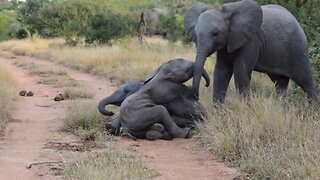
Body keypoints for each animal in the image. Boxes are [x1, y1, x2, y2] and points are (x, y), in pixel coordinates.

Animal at [184, 0, 318, 103]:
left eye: (215, 34)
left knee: (306, 82)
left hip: (298, 48)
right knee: (280, 84)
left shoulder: (250, 41)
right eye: (195, 34)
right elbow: (221, 72)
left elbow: (241, 73)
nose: (205, 85)